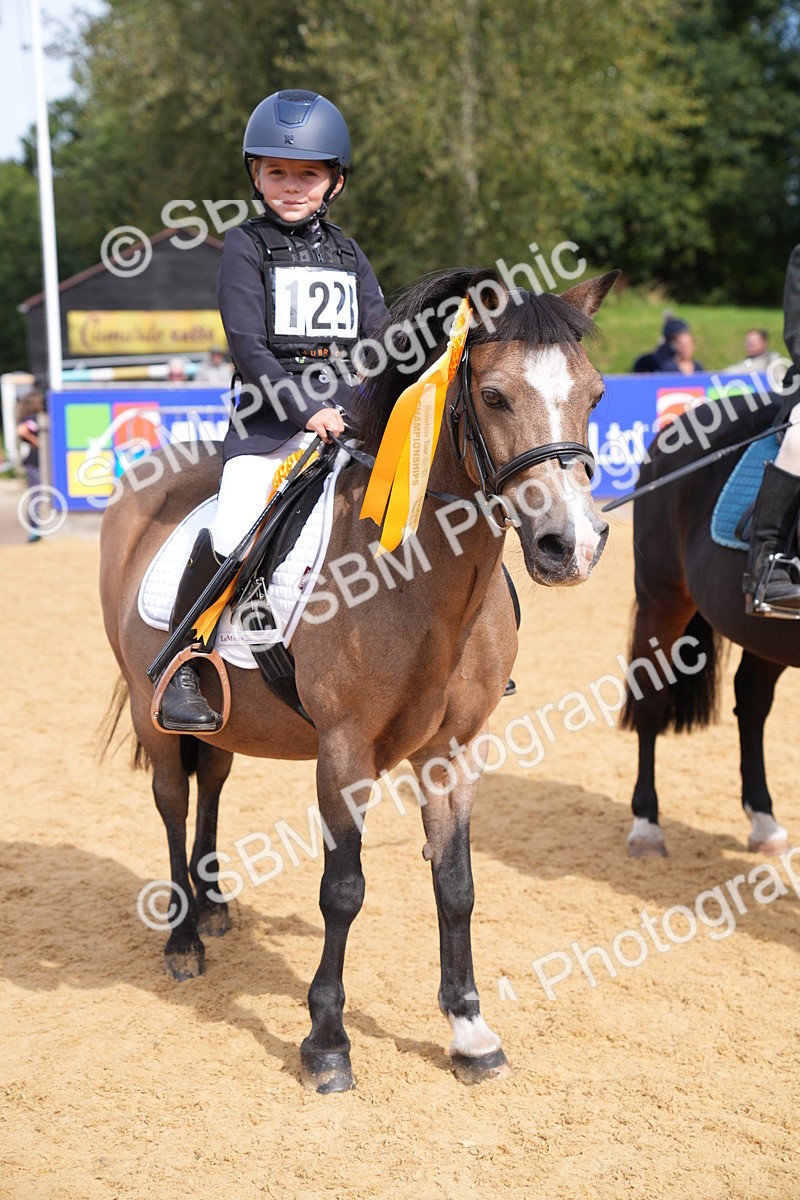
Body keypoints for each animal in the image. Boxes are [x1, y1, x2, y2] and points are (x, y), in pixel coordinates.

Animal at [99, 265, 618, 1092]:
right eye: (495, 395)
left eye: (596, 395)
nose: (571, 545)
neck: (423, 586)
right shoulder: (345, 752)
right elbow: (342, 891)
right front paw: (327, 1041)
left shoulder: (453, 751)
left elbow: (457, 884)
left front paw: (469, 1031)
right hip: (156, 715)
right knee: (174, 801)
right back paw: (184, 938)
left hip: (227, 717)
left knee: (212, 784)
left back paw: (212, 906)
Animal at [620, 388, 796, 859]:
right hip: (662, 603)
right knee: (650, 700)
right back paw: (647, 827)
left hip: (763, 632)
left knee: (751, 701)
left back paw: (765, 823)